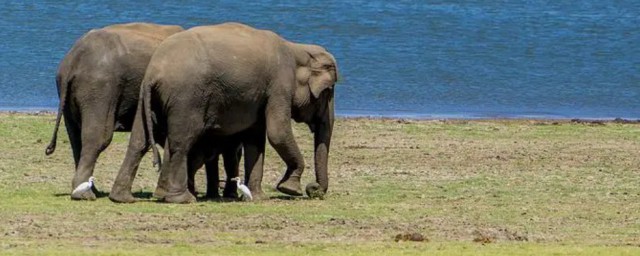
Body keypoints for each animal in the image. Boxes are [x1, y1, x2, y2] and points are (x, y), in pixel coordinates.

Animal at [43, 22, 184, 200]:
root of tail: (73, 60)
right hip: (100, 89)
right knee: (98, 137)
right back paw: (86, 195)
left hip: (69, 93)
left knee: (75, 138)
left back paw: (91, 191)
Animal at [109, 23, 340, 205]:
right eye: (328, 91)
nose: (314, 190)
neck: (297, 47)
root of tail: (153, 72)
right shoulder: (279, 84)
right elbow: (277, 132)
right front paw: (290, 189)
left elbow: (255, 138)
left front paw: (258, 197)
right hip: (187, 98)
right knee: (181, 143)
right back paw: (182, 199)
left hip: (148, 98)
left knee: (138, 142)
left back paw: (123, 198)